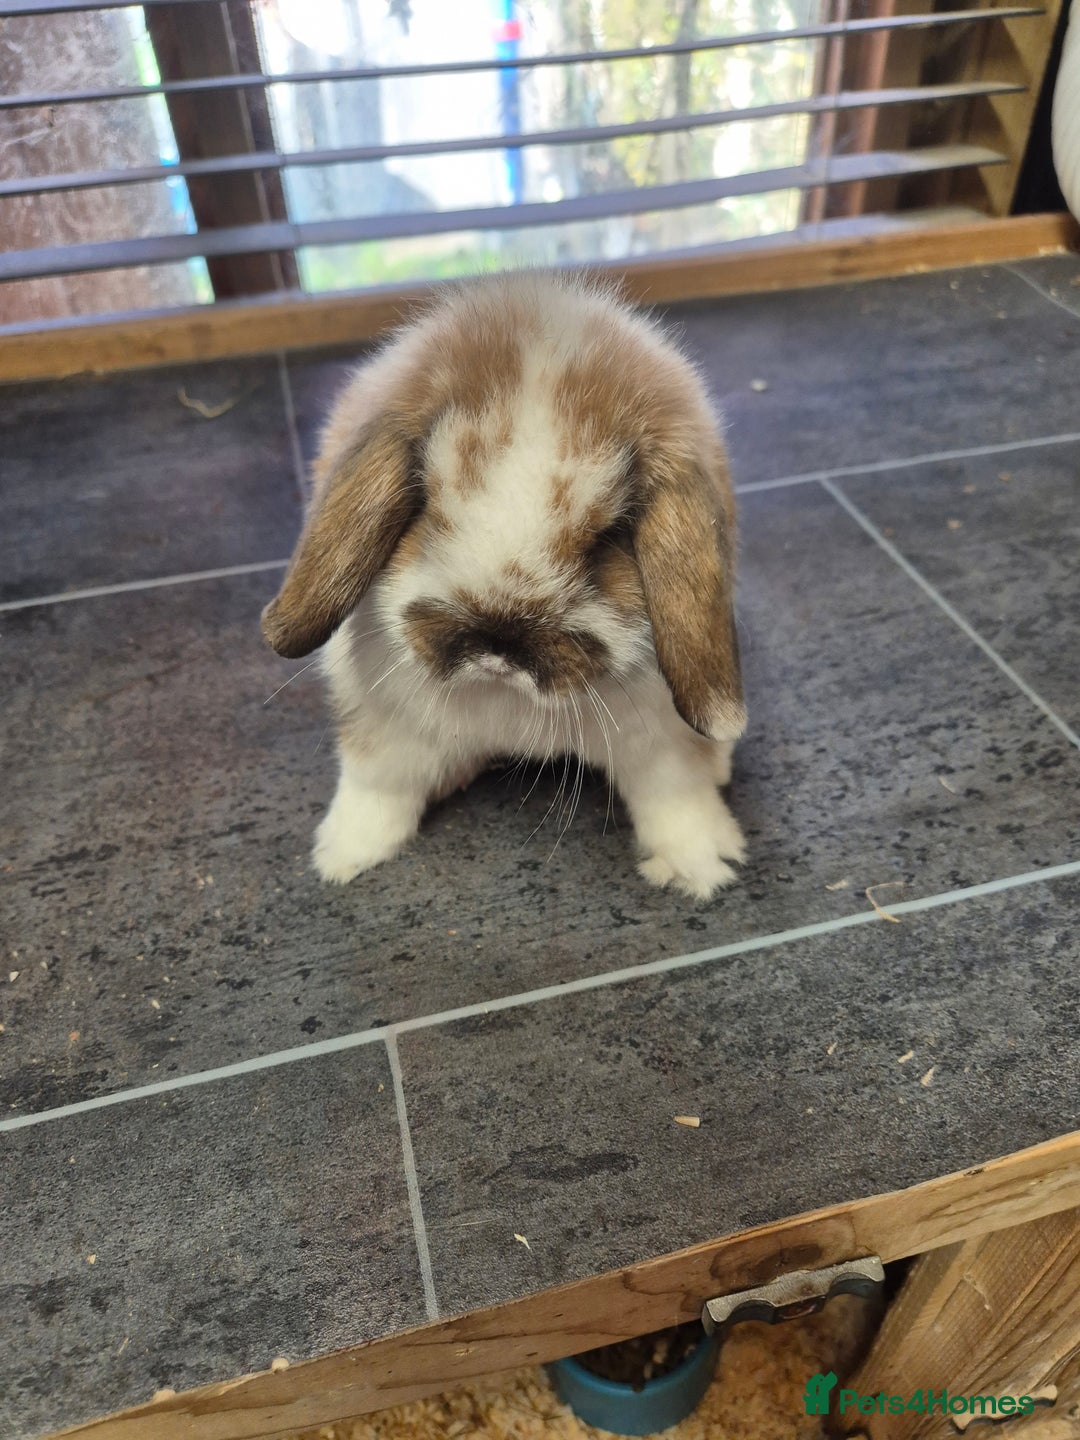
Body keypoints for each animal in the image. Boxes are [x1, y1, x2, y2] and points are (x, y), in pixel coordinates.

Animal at [262, 272, 747, 899]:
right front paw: (344, 856)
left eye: (609, 537)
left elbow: (676, 796)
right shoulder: (383, 730)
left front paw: (701, 866)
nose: (497, 644)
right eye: (426, 500)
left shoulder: (662, 740)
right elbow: (378, 787)